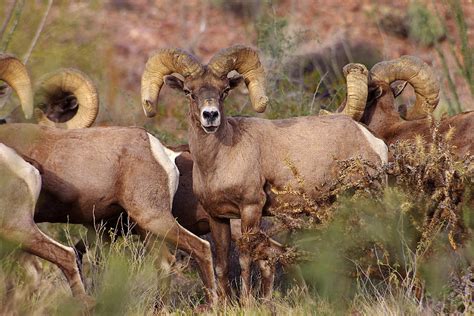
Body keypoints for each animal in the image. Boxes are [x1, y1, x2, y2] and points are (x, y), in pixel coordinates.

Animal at [141, 45, 388, 302]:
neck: (219, 161)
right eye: (189, 92)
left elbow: (246, 259)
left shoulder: (251, 209)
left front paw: (247, 302)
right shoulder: (217, 217)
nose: (210, 116)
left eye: (224, 90)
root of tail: (371, 139)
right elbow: (221, 265)